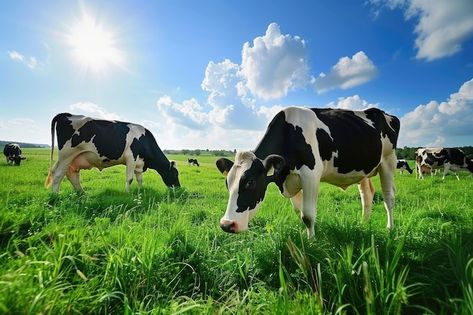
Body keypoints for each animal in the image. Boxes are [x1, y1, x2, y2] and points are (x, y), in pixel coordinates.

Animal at [44, 113, 181, 193]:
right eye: (175, 174)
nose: (179, 188)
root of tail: (68, 114)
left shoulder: (139, 162)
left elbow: (139, 179)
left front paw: (140, 191)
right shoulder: (131, 158)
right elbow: (130, 178)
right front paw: (128, 193)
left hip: (73, 158)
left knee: (70, 174)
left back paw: (81, 193)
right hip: (67, 154)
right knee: (58, 174)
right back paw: (56, 196)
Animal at [215, 107, 398, 238]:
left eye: (250, 182)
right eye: (227, 183)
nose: (226, 225)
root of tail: (382, 112)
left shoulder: (310, 176)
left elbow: (308, 215)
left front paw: (312, 242)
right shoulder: (289, 179)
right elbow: (299, 211)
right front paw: (306, 235)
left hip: (388, 162)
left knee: (388, 199)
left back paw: (390, 229)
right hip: (363, 170)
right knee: (367, 194)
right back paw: (363, 223)